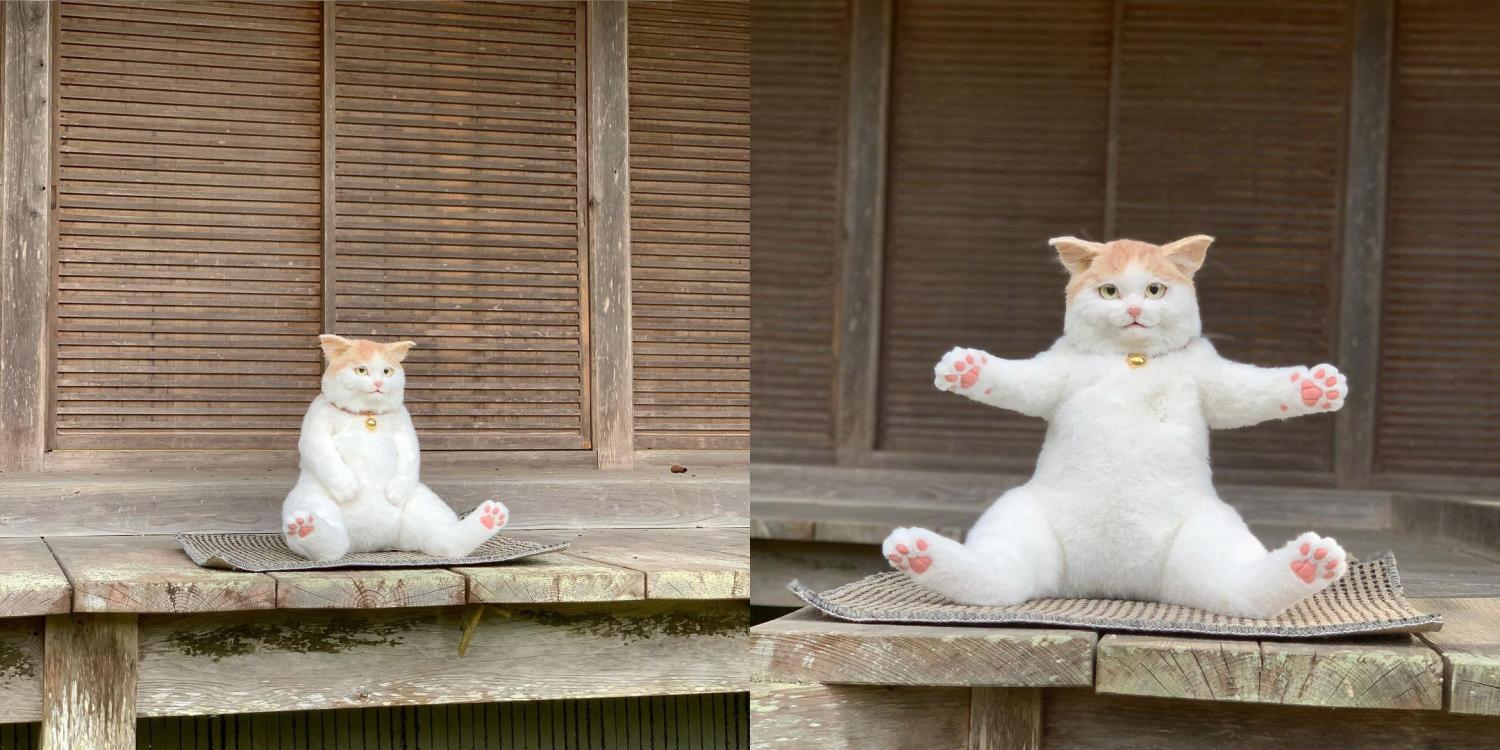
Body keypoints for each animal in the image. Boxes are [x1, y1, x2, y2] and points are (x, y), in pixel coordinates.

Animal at [282, 337, 510, 561]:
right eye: (361, 370)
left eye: (387, 371)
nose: (378, 383)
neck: (367, 415)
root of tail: (370, 543)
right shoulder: (316, 428)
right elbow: (324, 456)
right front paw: (348, 487)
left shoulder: (405, 429)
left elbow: (411, 458)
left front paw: (396, 492)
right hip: (313, 501)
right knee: (332, 549)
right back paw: (307, 527)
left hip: (424, 506)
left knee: (447, 542)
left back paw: (489, 518)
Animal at [882, 237, 1356, 618]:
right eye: (1109, 291)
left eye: (1154, 289)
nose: (1132, 309)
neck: (1132, 361)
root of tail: (1114, 578)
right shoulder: (1053, 373)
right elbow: (1018, 381)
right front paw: (966, 369)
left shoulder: (1213, 380)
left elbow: (1254, 390)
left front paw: (1315, 387)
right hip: (1018, 521)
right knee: (995, 579)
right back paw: (918, 552)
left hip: (1210, 539)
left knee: (1242, 592)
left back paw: (1309, 562)